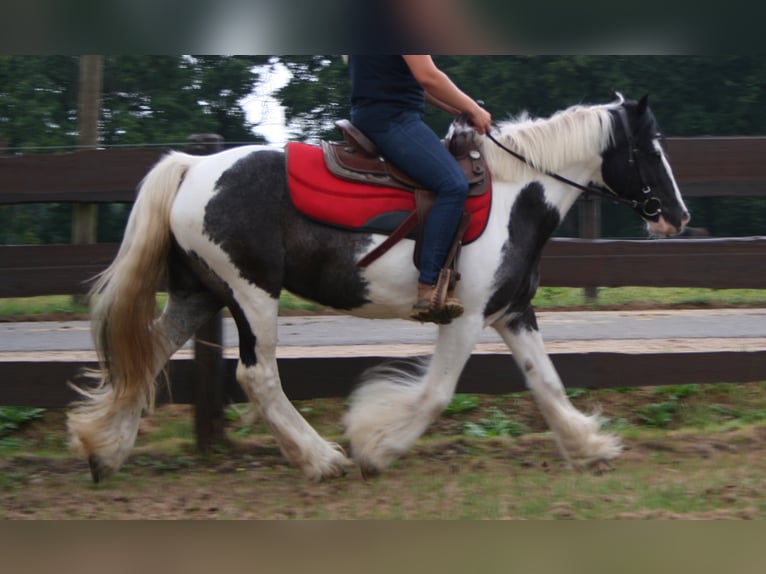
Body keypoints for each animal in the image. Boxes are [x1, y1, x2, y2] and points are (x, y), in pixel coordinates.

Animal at [67, 92, 688, 484]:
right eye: (651, 149)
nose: (678, 216)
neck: (518, 195)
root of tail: (192, 168)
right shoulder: (464, 317)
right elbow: (436, 394)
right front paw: (375, 446)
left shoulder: (512, 312)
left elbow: (548, 382)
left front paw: (590, 447)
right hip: (251, 294)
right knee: (257, 376)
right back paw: (323, 460)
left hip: (199, 294)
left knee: (146, 357)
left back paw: (104, 451)